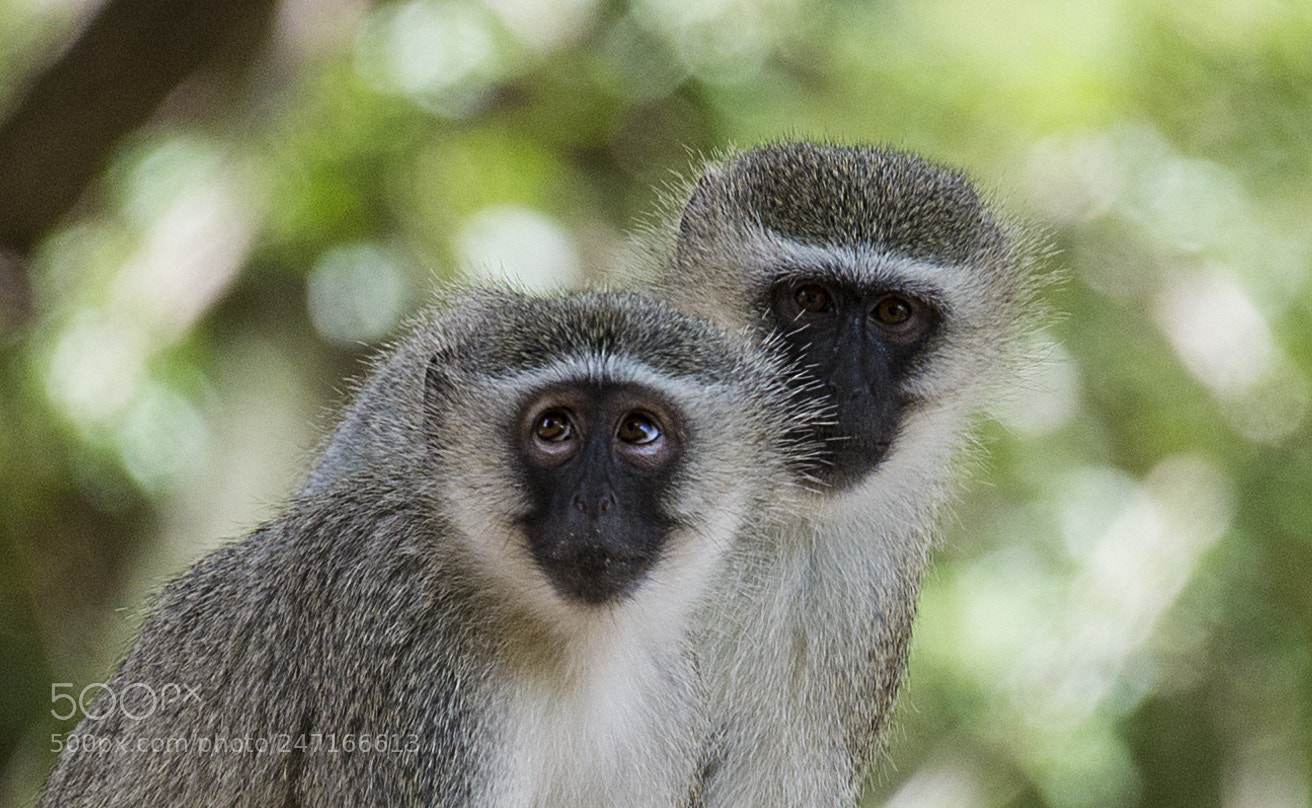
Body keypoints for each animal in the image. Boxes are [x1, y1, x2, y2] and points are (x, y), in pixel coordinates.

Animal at [38, 287, 819, 808]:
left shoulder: (660, 702)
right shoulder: (408, 660)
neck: (564, 643)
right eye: (554, 428)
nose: (594, 504)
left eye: (639, 432)